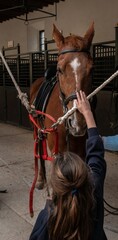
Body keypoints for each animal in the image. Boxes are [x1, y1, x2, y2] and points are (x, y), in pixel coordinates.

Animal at [30, 23, 94, 189]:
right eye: (59, 69)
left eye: (91, 69)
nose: (78, 122)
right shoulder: (57, 153)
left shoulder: (81, 152)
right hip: (36, 130)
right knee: (39, 149)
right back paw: (40, 178)